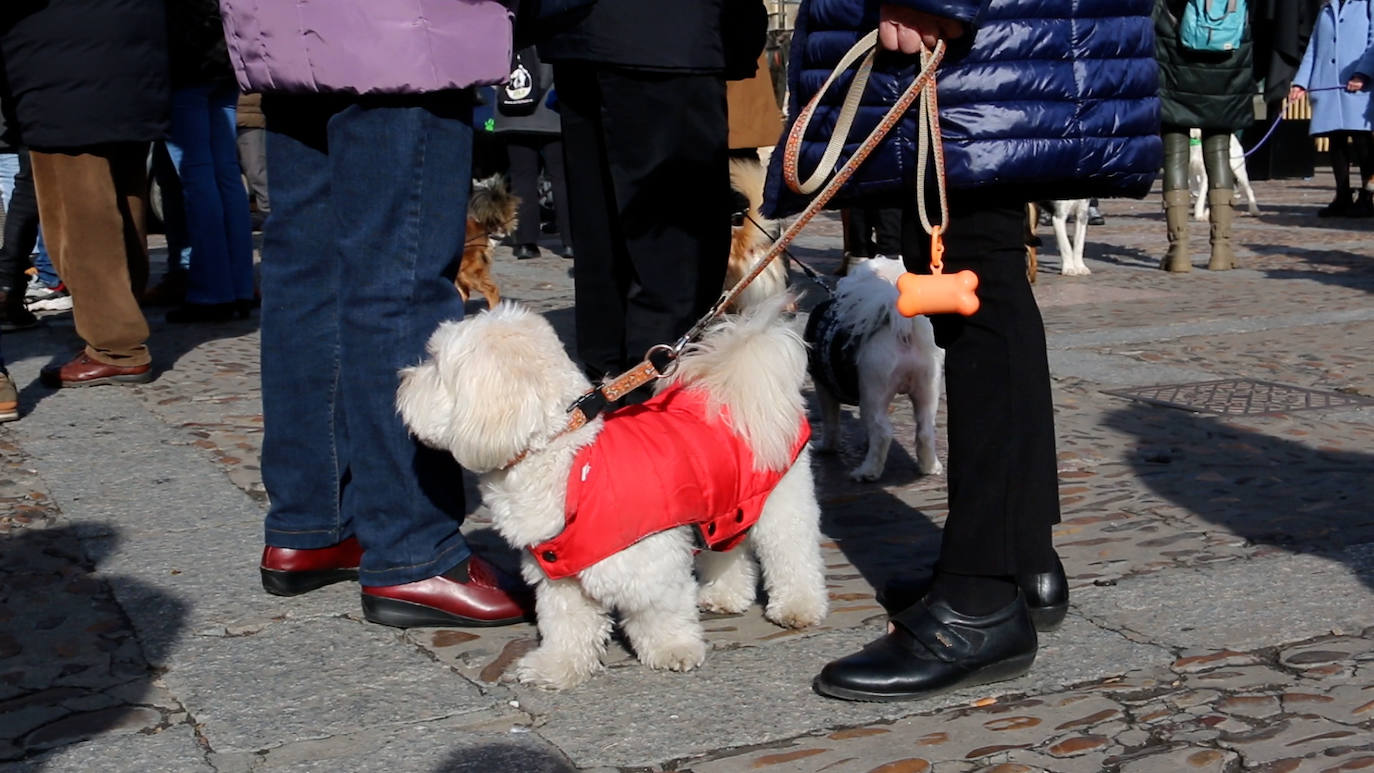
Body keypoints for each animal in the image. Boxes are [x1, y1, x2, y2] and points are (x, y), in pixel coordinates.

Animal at [802, 256, 945, 480]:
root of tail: (903, 332)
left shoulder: (823, 386)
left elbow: (831, 423)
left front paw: (826, 447)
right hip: (927, 388)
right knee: (925, 430)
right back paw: (930, 467)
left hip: (873, 392)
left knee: (882, 432)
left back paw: (868, 471)